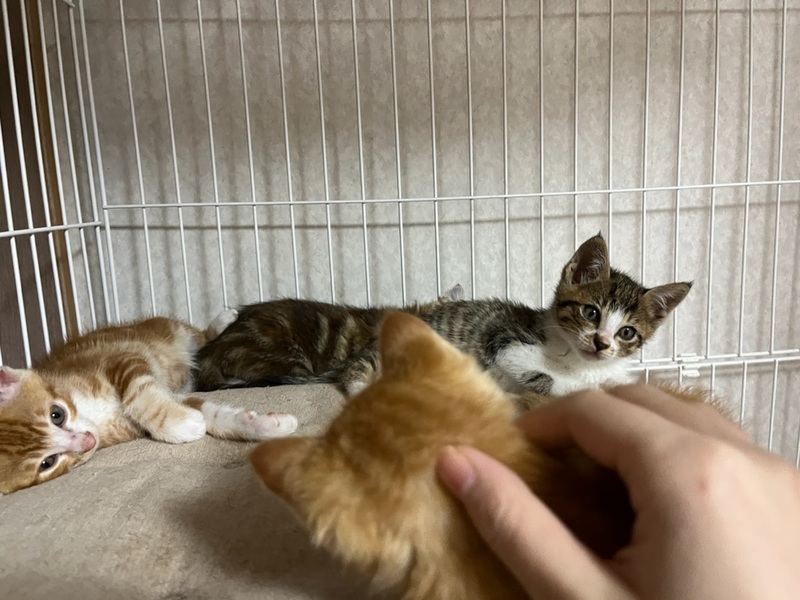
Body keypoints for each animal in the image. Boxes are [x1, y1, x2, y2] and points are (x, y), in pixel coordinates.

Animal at [0, 312, 297, 494]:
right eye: (47, 463)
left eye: (57, 415)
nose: (87, 441)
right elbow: (208, 412)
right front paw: (264, 425)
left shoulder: (120, 357)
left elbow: (138, 392)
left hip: (166, 330)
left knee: (197, 335)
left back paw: (222, 321)